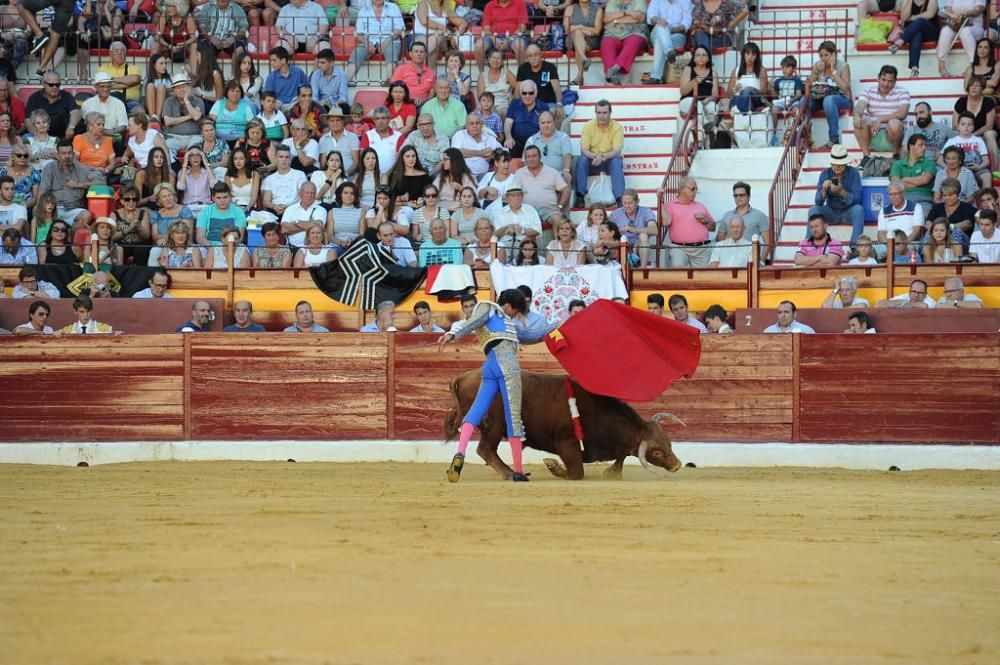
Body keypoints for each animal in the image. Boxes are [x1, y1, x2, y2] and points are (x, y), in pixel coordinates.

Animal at [448, 368, 688, 482]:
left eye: (669, 443)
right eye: (657, 453)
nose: (677, 464)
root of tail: (464, 376)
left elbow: (620, 457)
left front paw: (612, 472)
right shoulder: (567, 443)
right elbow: (576, 472)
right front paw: (553, 466)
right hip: (494, 426)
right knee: (486, 449)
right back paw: (510, 474)